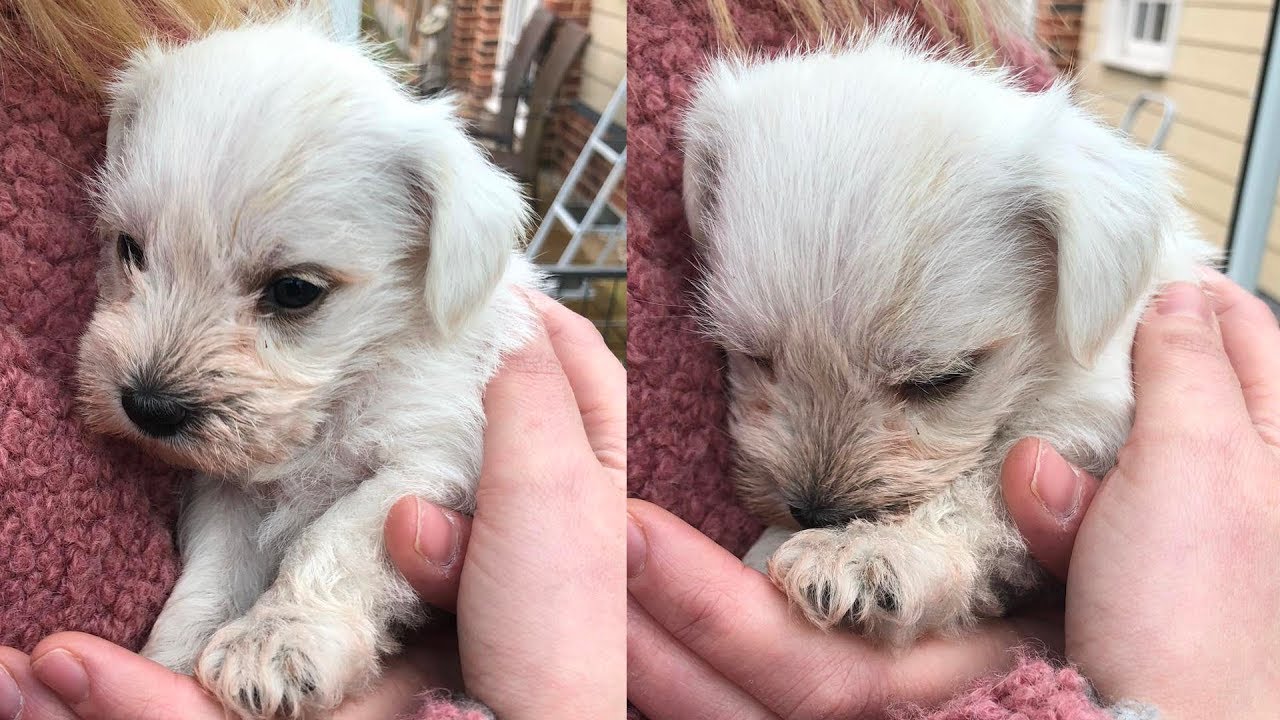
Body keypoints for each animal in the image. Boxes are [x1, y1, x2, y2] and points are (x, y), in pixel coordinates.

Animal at [76, 12, 535, 717]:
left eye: (295, 290)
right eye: (130, 249)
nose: (147, 407)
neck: (335, 402)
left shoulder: (430, 463)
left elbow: (338, 535)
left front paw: (278, 639)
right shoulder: (226, 491)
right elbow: (210, 574)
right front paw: (173, 659)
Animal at [686, 28, 1213, 645]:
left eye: (941, 380)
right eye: (754, 356)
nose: (814, 514)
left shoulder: (1083, 420)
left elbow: (976, 491)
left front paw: (869, 551)